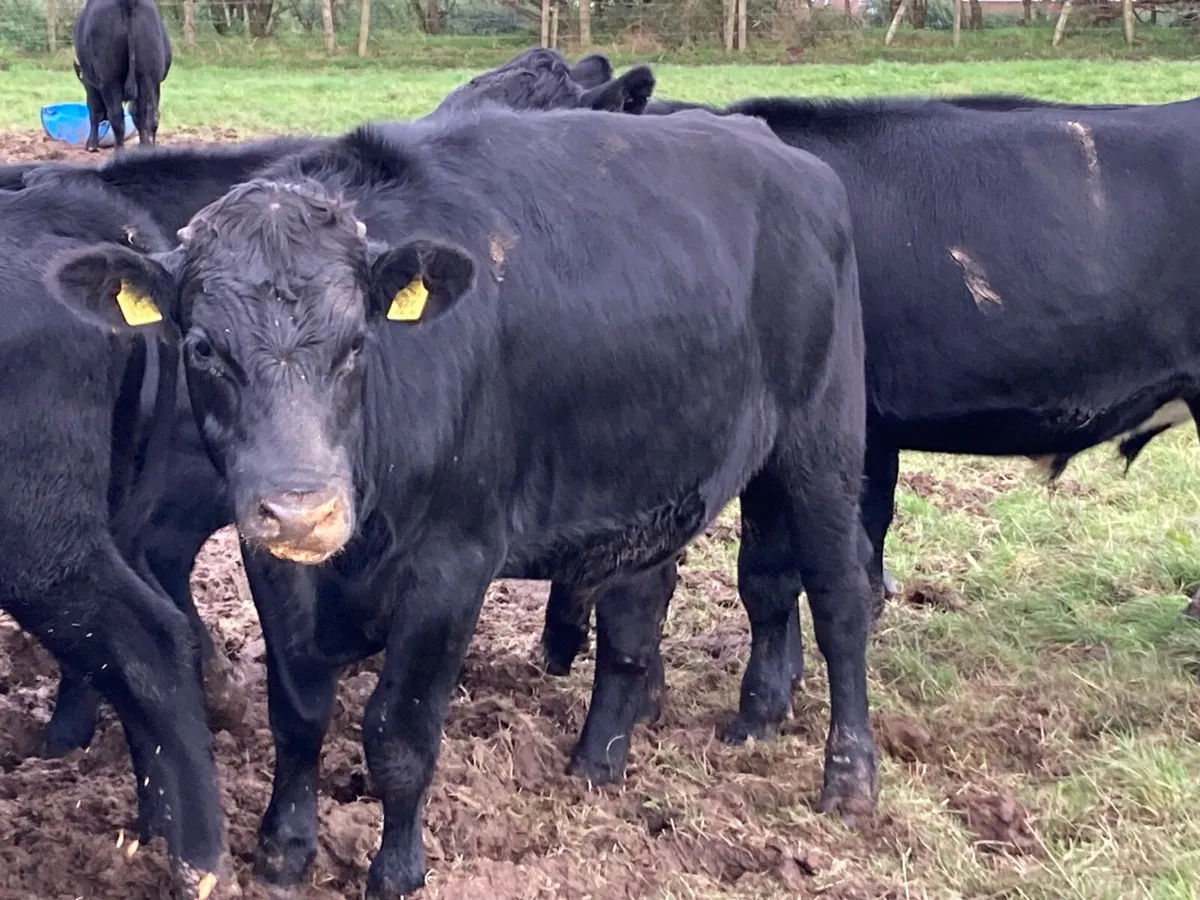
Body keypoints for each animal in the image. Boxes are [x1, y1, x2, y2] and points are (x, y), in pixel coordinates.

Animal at [47, 105, 878, 897]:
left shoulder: (452, 564)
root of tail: (778, 151)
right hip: (665, 473)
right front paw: (282, 854)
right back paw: (616, 757)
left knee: (840, 598)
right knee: (649, 612)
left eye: (358, 342)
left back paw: (850, 778)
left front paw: (395, 873)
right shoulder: (274, 567)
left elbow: (400, 735)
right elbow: (298, 714)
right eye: (203, 348)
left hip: (823, 440)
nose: (303, 511)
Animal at [73, 0, 172, 151]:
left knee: (116, 117)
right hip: (146, 75)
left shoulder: (91, 84)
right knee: (143, 114)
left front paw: (91, 144)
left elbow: (94, 111)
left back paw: (119, 150)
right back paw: (145, 147)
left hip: (110, 78)